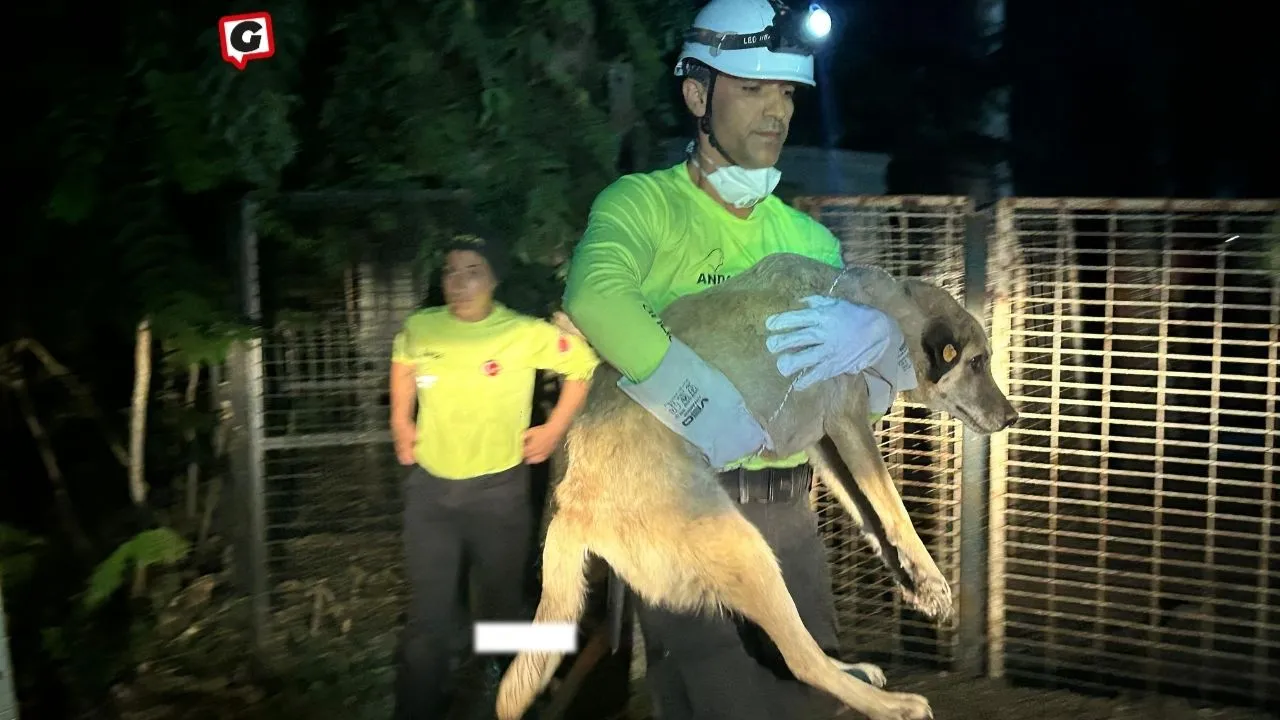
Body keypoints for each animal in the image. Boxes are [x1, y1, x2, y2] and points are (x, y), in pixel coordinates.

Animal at [494, 253, 1013, 717]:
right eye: (977, 362)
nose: (1013, 417)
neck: (877, 306)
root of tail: (573, 505)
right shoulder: (848, 424)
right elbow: (893, 508)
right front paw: (932, 578)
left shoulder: (826, 445)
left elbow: (870, 516)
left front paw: (916, 585)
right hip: (749, 552)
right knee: (801, 660)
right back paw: (891, 706)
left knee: (805, 654)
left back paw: (857, 674)